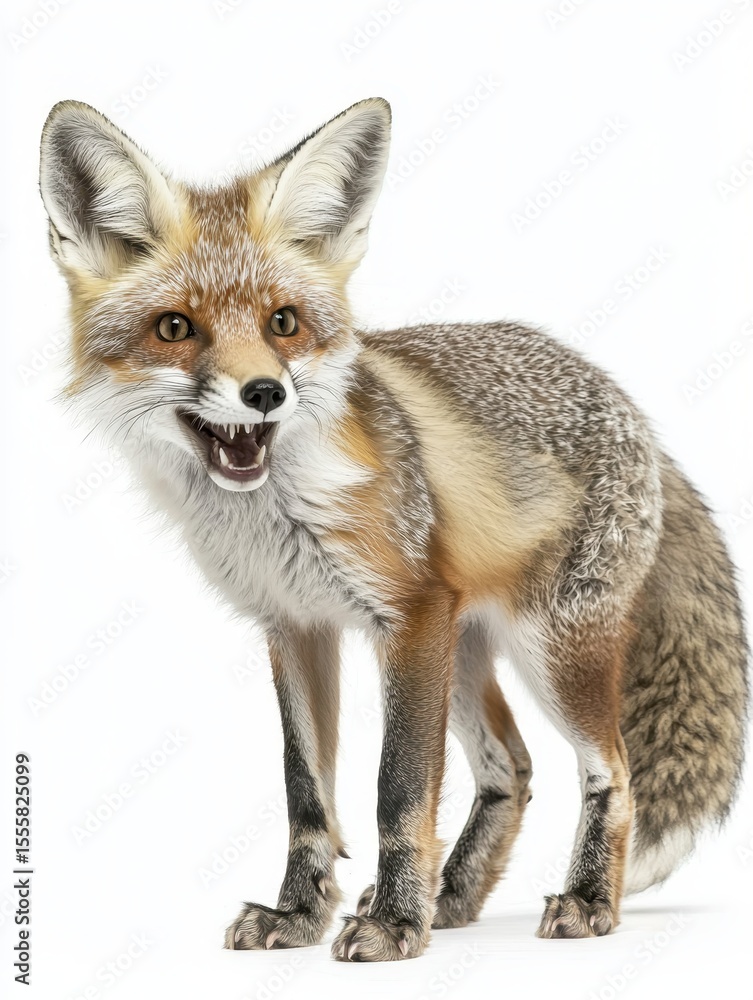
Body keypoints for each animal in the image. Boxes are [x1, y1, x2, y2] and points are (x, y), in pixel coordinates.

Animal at [39, 97, 748, 962]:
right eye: (175, 328)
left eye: (283, 323)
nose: (264, 393)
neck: (274, 511)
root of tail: (631, 409)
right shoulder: (297, 625)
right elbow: (307, 794)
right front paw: (301, 915)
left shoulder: (406, 619)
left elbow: (399, 790)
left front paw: (395, 925)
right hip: (466, 647)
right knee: (511, 767)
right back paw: (455, 897)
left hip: (549, 644)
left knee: (610, 767)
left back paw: (583, 900)